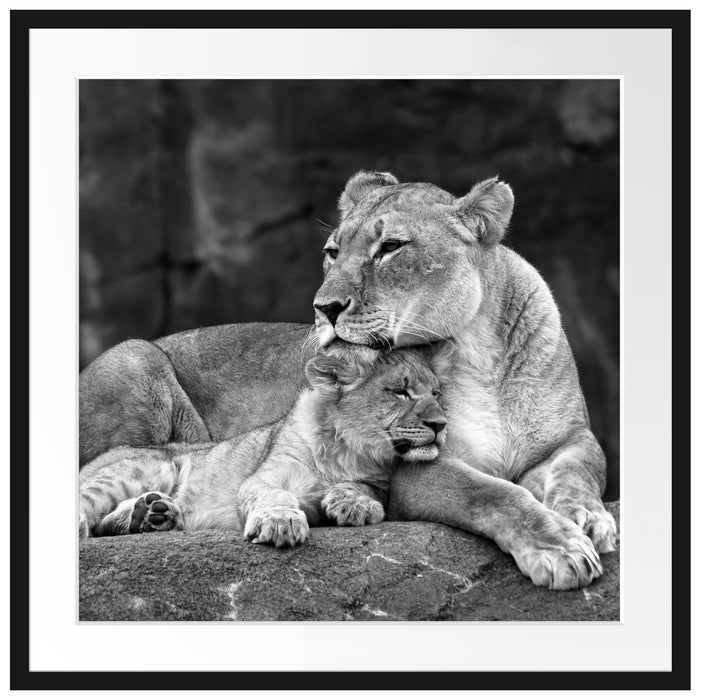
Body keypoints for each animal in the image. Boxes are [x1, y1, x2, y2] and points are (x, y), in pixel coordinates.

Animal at [79, 346, 449, 547]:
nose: (441, 424)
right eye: (400, 392)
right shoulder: (262, 479)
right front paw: (280, 524)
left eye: (436, 394)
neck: (346, 450)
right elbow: (275, 496)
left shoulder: (379, 482)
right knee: (89, 505)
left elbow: (366, 490)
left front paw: (353, 503)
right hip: (150, 468)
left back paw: (153, 514)